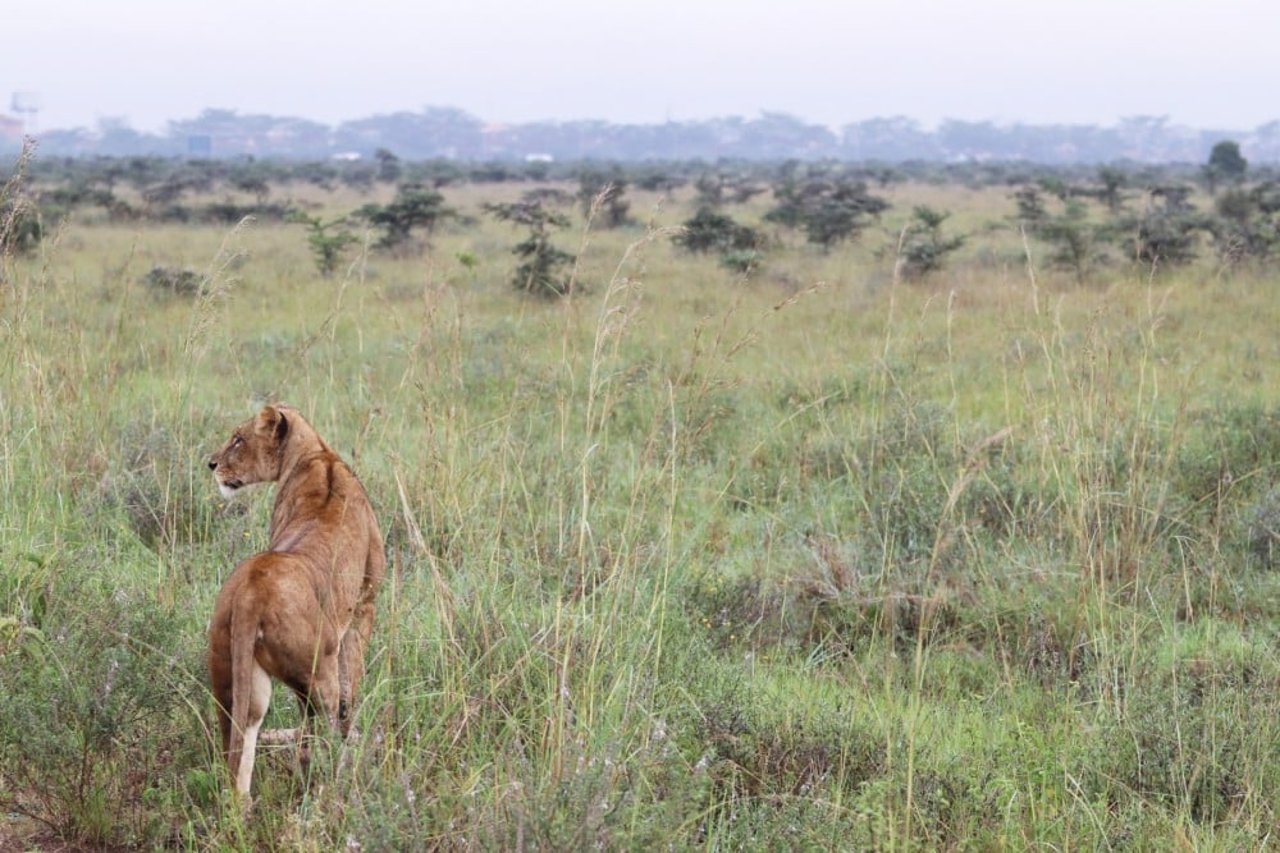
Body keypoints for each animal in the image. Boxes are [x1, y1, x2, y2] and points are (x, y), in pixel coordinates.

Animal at [204, 404, 381, 799]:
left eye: (238, 439)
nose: (210, 464)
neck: (317, 452)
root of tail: (251, 592)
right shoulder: (365, 604)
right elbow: (351, 687)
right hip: (318, 669)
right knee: (330, 721)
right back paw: (341, 783)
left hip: (233, 678)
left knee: (239, 746)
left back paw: (243, 805)